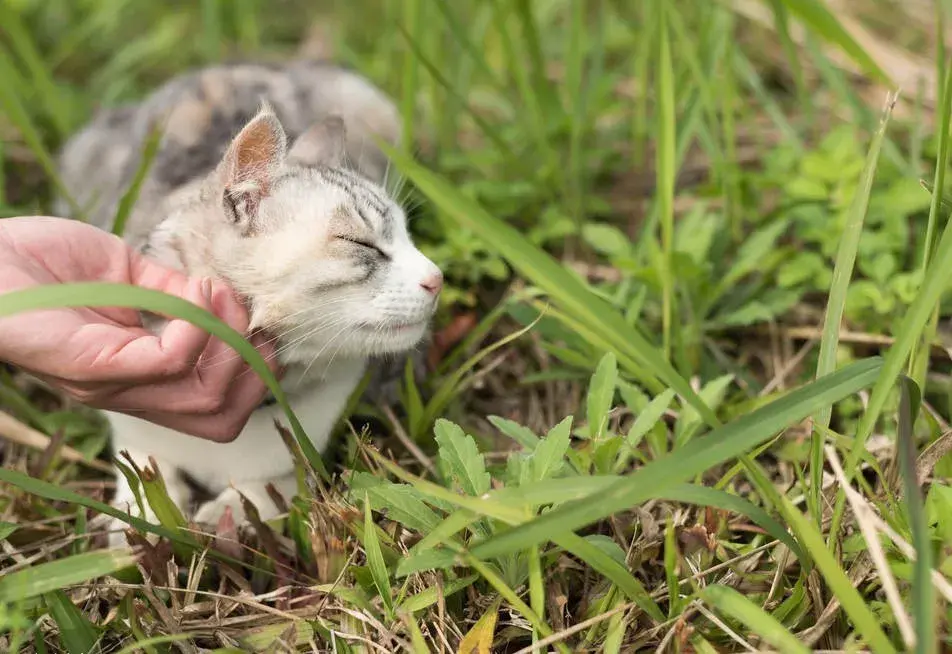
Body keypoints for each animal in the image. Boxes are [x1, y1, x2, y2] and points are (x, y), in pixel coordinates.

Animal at [57, 61, 444, 544]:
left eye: (410, 237)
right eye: (363, 244)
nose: (438, 278)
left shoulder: (295, 463)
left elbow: (261, 492)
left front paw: (223, 520)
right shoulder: (134, 431)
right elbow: (145, 473)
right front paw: (140, 525)